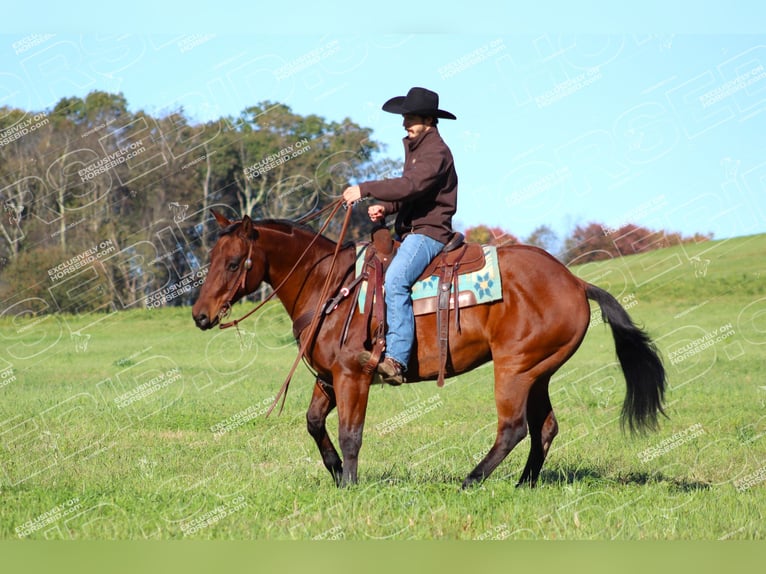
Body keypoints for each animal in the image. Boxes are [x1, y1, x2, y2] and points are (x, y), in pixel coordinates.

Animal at [192, 212, 664, 490]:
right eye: (211, 258)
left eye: (233, 263)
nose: (200, 315)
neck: (331, 286)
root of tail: (575, 281)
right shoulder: (328, 378)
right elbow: (313, 423)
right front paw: (336, 473)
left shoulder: (353, 376)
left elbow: (351, 433)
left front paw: (350, 484)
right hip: (538, 372)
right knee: (544, 427)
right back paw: (523, 485)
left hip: (514, 368)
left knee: (513, 428)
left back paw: (470, 481)